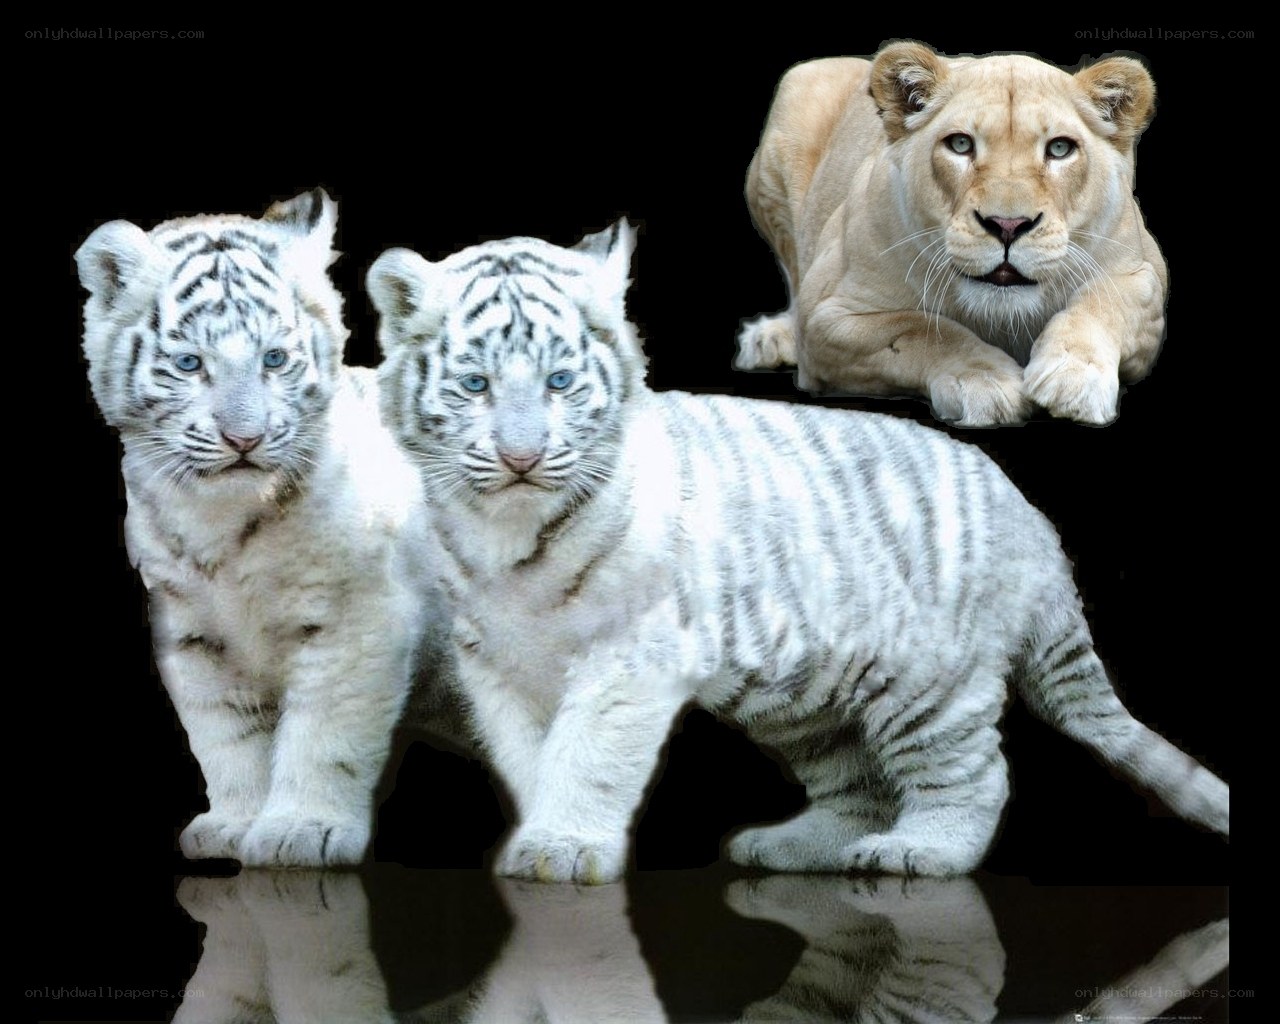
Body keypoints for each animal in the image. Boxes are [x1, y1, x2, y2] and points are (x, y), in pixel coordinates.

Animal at [75, 189, 447, 867]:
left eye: (274, 359)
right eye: (189, 364)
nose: (243, 439)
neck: (220, 523)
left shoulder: (357, 619)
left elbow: (323, 730)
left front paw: (303, 830)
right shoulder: (193, 633)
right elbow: (227, 736)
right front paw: (234, 823)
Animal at [366, 221, 1229, 883]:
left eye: (559, 382)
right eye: (475, 385)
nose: (522, 458)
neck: (508, 532)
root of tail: (1031, 520)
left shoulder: (628, 658)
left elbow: (588, 755)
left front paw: (564, 847)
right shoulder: (498, 665)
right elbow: (531, 757)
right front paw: (541, 834)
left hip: (932, 681)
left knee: (974, 776)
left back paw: (919, 852)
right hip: (810, 702)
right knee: (858, 787)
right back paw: (790, 847)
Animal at [737, 42, 1167, 426]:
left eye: (1060, 149)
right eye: (961, 144)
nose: (1007, 225)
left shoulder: (1143, 272)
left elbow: (1103, 304)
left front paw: (1074, 378)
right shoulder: (826, 316)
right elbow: (920, 330)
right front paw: (984, 382)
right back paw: (771, 338)